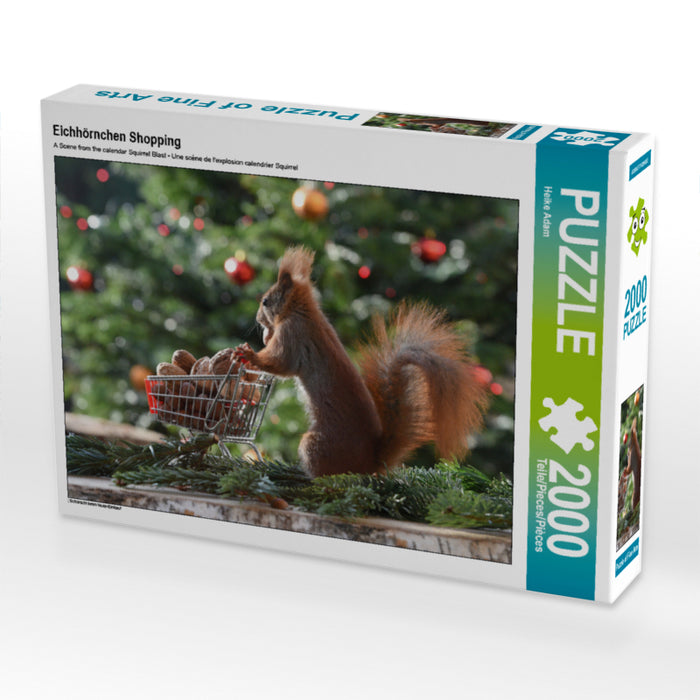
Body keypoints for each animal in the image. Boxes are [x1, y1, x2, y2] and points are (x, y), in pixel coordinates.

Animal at [235, 246, 488, 477]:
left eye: (265, 301)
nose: (257, 319)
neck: (302, 311)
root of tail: (370, 463)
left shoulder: (293, 335)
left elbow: (280, 363)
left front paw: (250, 354)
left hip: (315, 444)